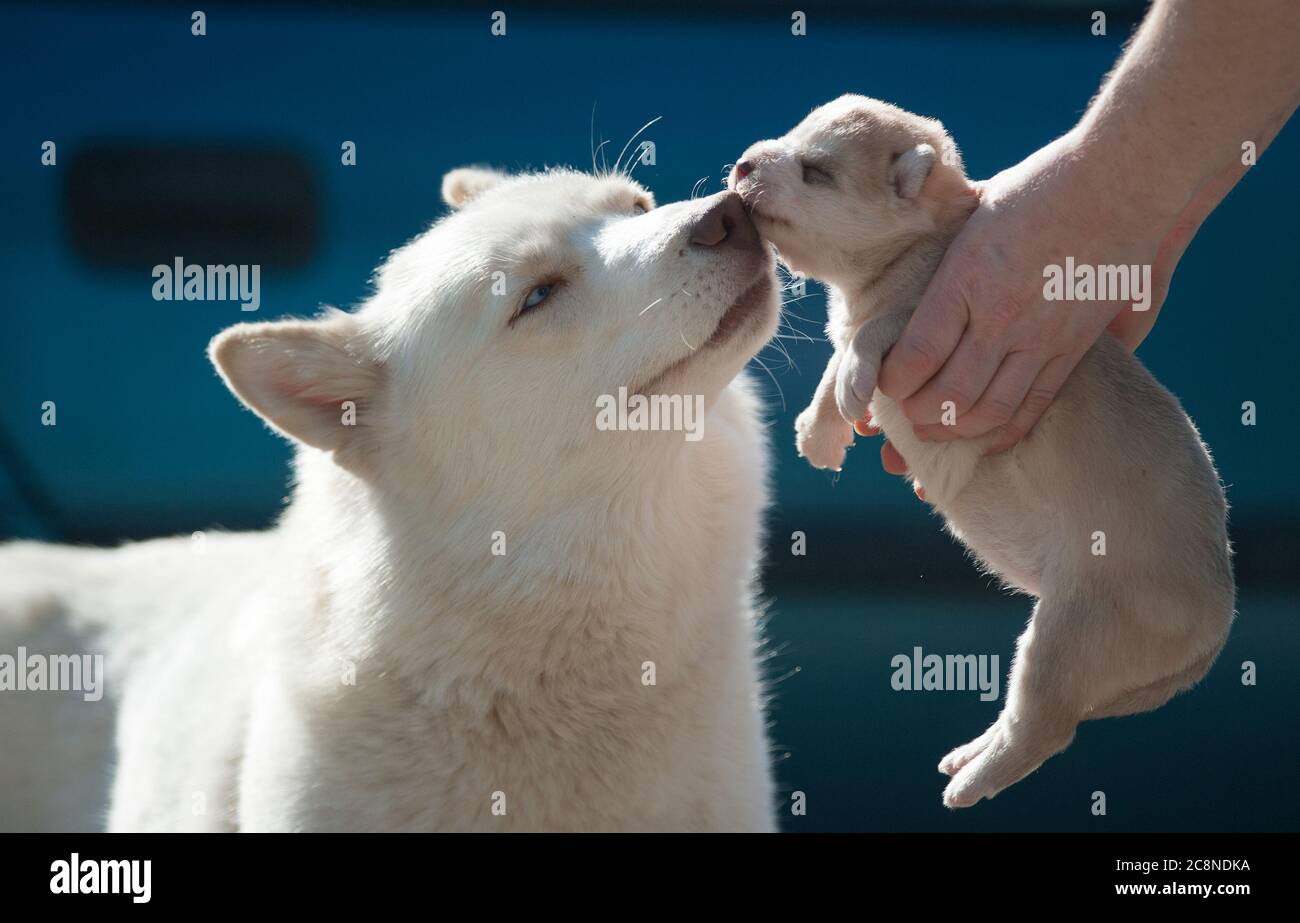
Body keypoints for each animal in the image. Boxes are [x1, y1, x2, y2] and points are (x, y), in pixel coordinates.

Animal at [728, 95, 1232, 811]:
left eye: (815, 170)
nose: (744, 162)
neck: (914, 249)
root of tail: (1217, 622)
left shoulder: (932, 319)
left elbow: (870, 337)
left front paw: (851, 384)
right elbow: (835, 364)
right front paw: (821, 430)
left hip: (1068, 636)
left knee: (1041, 726)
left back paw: (973, 782)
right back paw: (973, 753)